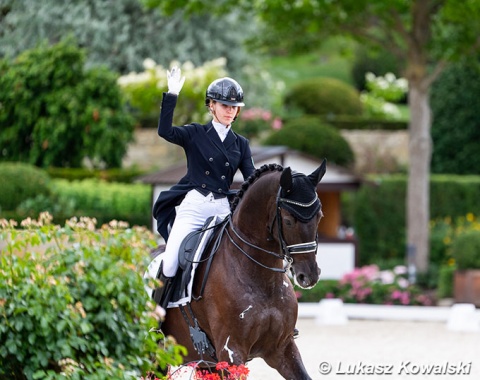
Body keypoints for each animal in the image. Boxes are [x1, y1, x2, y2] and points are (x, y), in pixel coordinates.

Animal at [154, 161, 326, 380]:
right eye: (288, 220)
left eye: (320, 216)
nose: (309, 276)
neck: (262, 278)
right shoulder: (231, 352)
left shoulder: (282, 348)